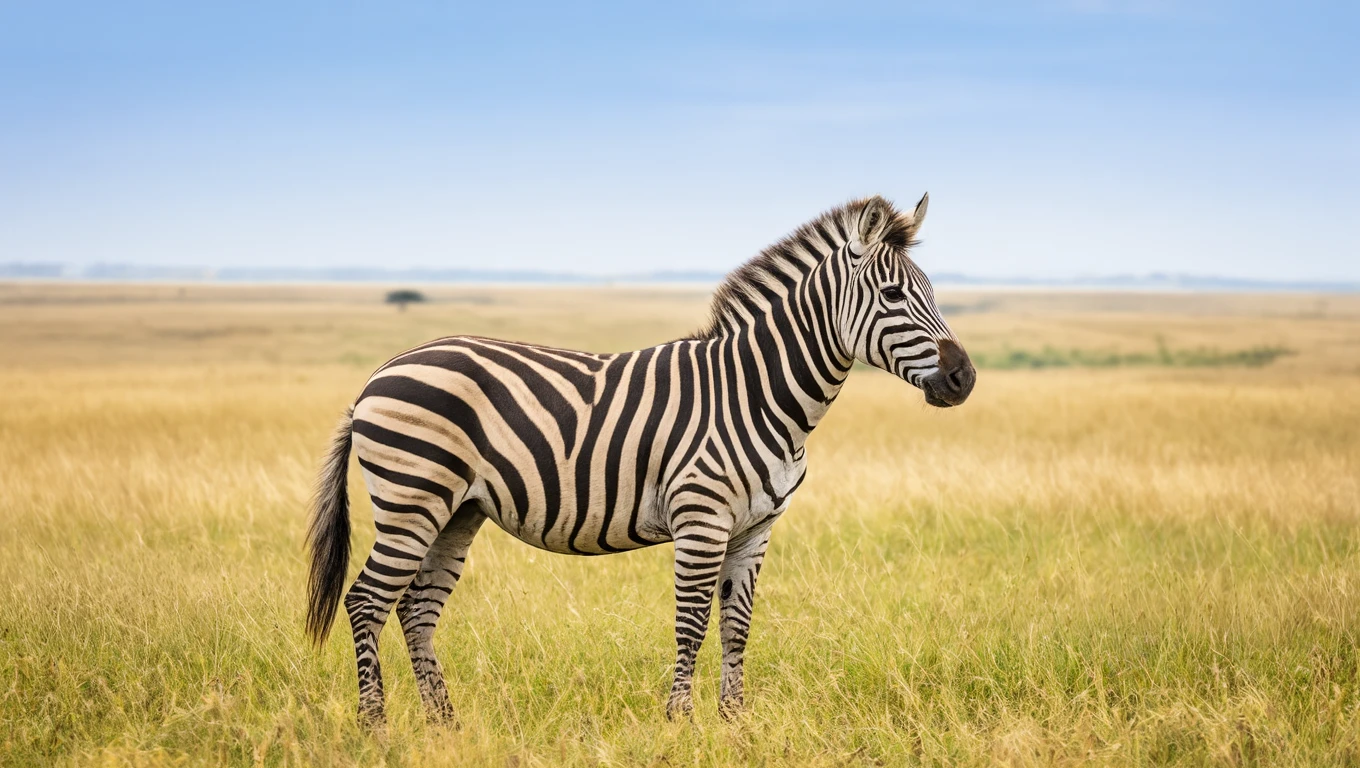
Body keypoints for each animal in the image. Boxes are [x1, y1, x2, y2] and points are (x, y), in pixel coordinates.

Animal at [305, 194, 976, 725]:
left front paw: (735, 724)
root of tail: (378, 374)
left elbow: (737, 627)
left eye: (934, 292)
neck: (757, 393)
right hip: (411, 498)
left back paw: (444, 724)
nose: (964, 378)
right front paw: (681, 722)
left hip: (457, 511)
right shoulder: (701, 519)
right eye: (893, 294)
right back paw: (376, 726)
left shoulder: (756, 528)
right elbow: (693, 623)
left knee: (416, 608)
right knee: (366, 601)